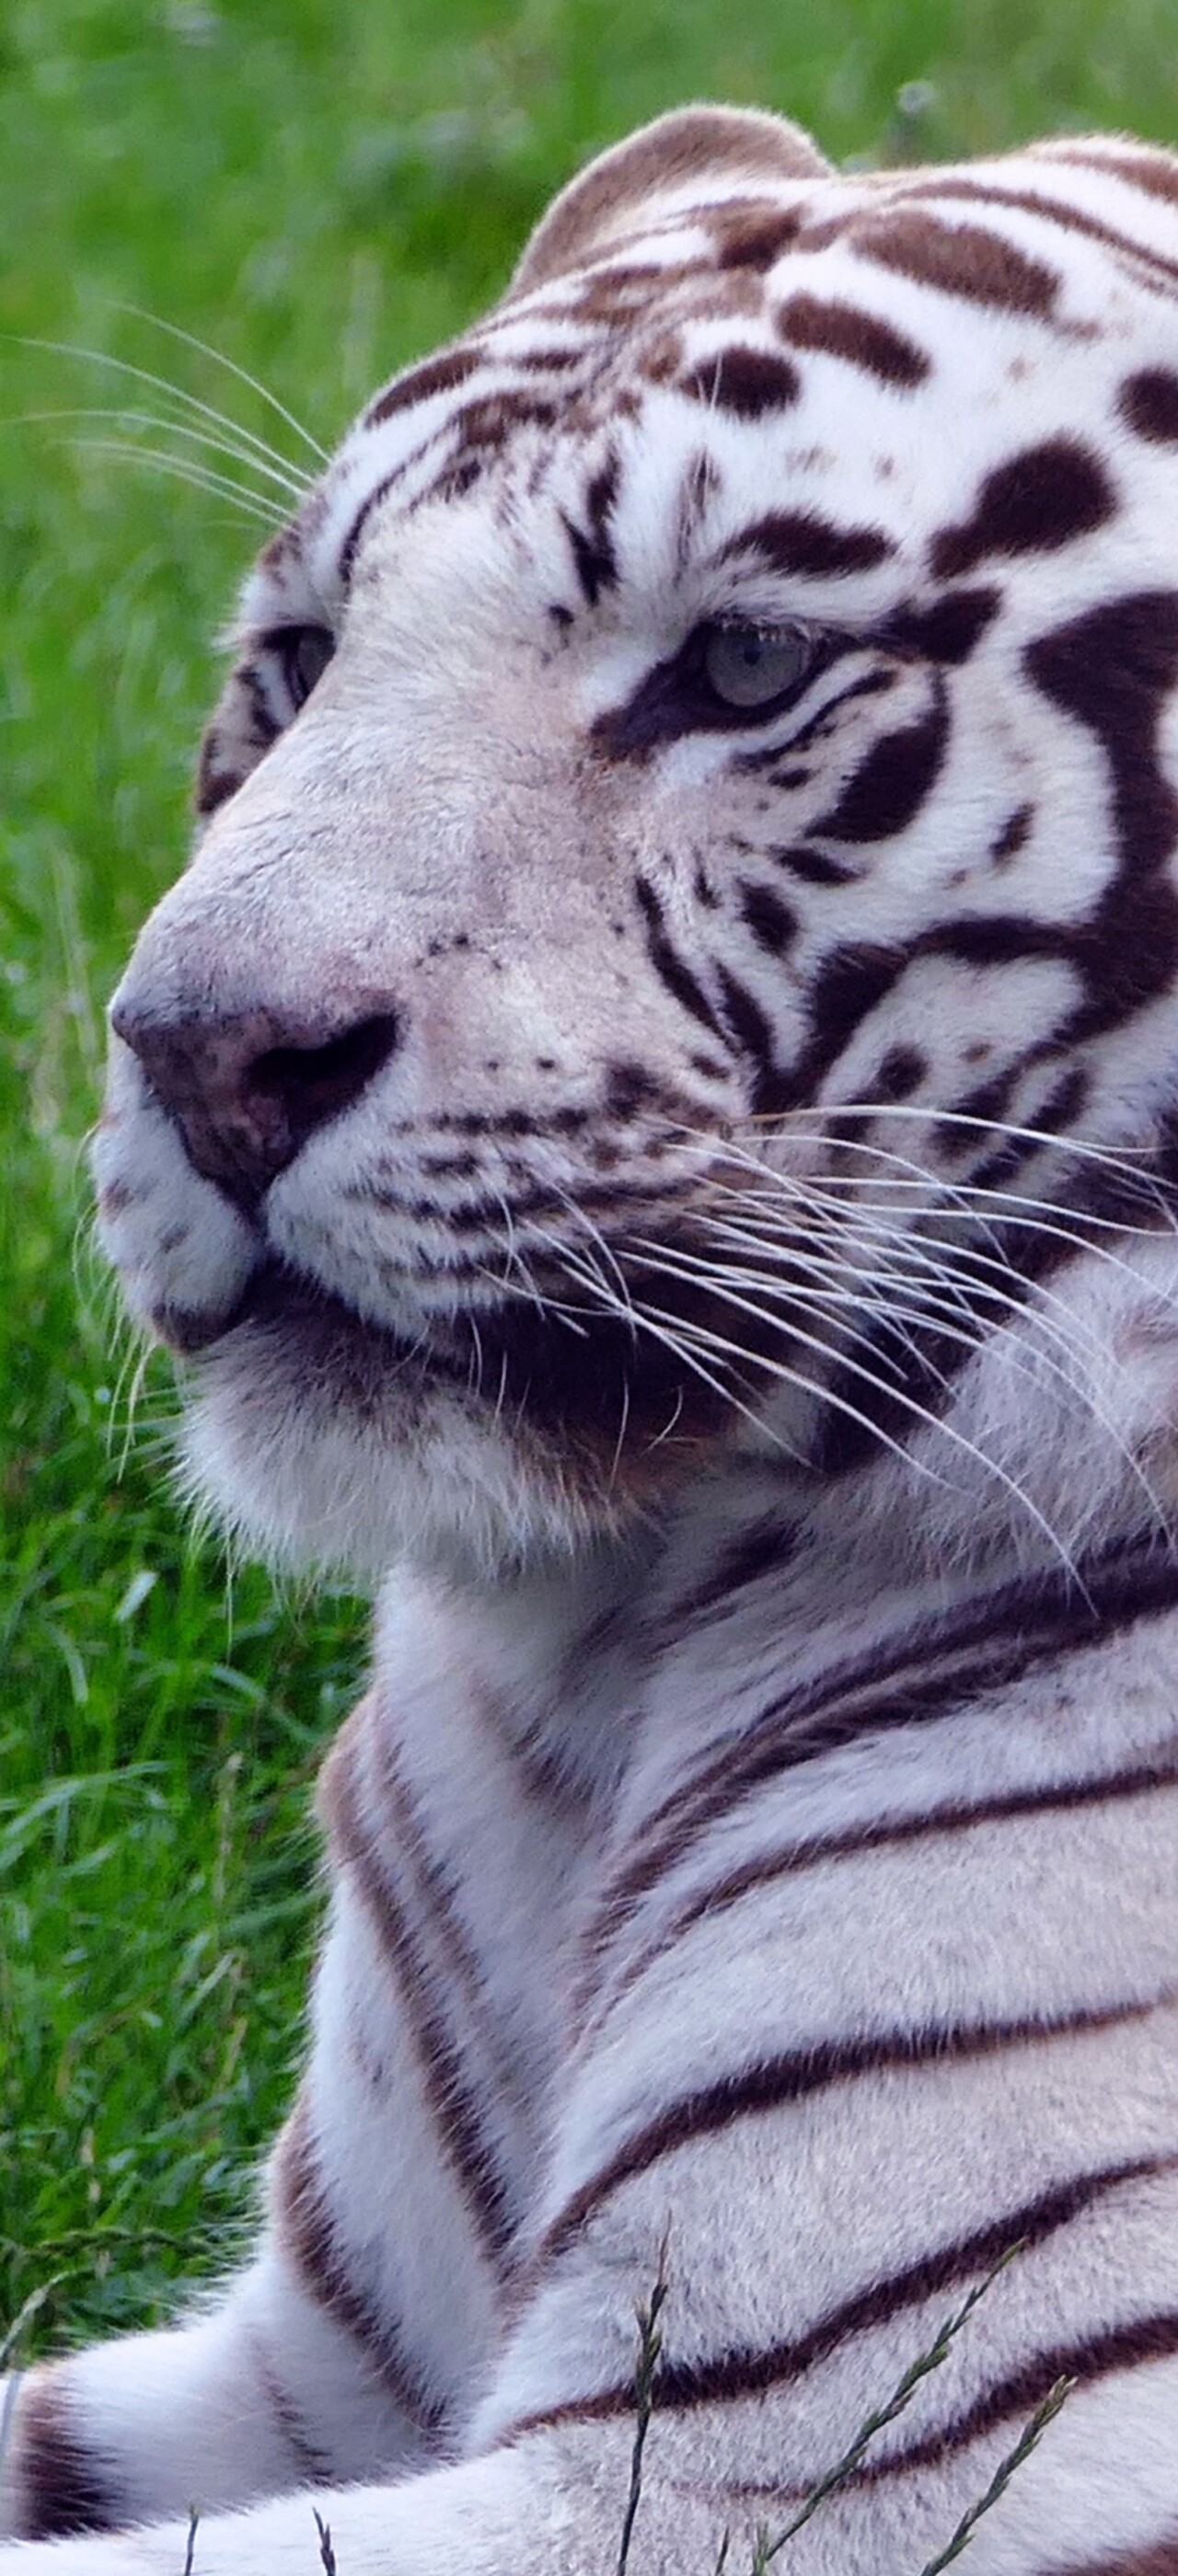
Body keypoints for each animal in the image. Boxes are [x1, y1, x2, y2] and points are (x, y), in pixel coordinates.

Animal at [3, 93, 1178, 2575]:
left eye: (740, 669)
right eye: (298, 656)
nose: (201, 1054)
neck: (610, 1657)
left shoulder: (812, 2459)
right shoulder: (308, 2371)